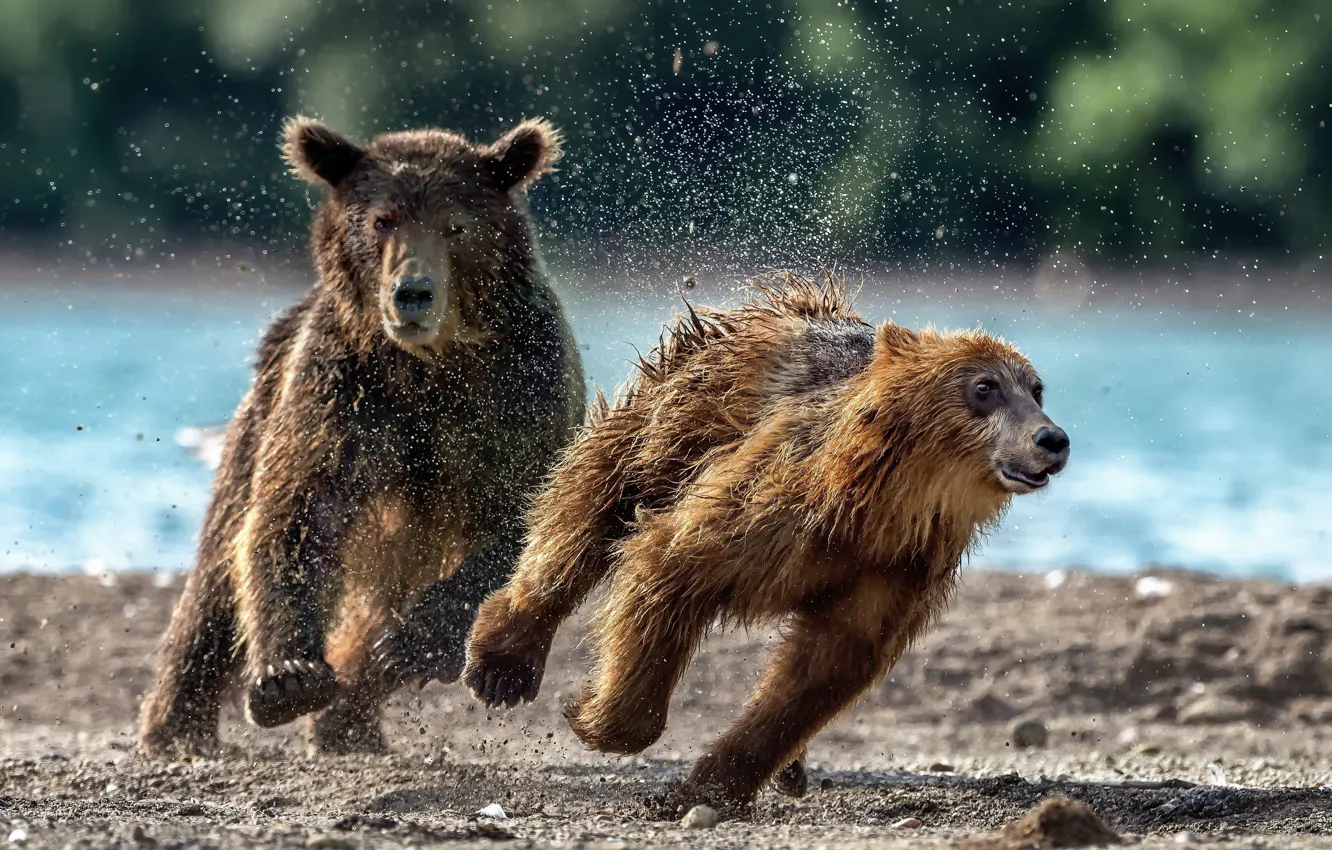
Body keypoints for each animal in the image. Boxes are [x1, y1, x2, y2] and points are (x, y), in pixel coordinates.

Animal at [136, 114, 585, 758]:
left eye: (456, 224)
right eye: (381, 220)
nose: (412, 292)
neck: (432, 365)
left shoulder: (521, 390)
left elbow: (522, 515)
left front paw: (411, 642)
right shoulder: (342, 391)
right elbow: (298, 512)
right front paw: (287, 677)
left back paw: (355, 706)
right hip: (262, 415)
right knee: (217, 581)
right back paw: (178, 726)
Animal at [463, 270, 1069, 813]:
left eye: (1036, 388)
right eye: (985, 387)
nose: (1052, 438)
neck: (877, 508)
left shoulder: (893, 569)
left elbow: (819, 671)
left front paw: (707, 788)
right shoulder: (771, 508)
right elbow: (669, 564)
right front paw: (596, 715)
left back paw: (793, 770)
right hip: (674, 422)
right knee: (589, 507)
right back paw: (502, 664)